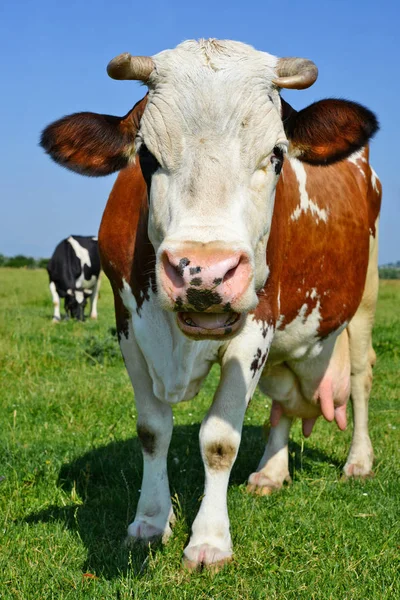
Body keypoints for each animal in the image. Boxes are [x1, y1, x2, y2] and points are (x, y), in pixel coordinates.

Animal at [40, 39, 382, 568]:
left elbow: (219, 440)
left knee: (363, 376)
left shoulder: (256, 324)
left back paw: (359, 461)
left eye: (277, 154)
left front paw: (209, 540)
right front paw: (149, 520)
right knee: (283, 401)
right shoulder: (127, 323)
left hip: (364, 297)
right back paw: (271, 471)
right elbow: (152, 430)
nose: (204, 270)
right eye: (146, 155)